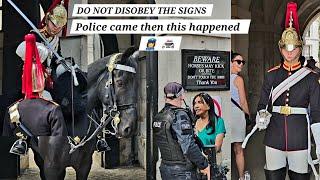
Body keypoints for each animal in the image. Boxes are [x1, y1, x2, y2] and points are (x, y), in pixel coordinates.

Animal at [2, 46, 139, 180]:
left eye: (136, 84)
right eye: (120, 82)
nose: (129, 128)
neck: (72, 117)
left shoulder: (84, 166)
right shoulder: (51, 167)